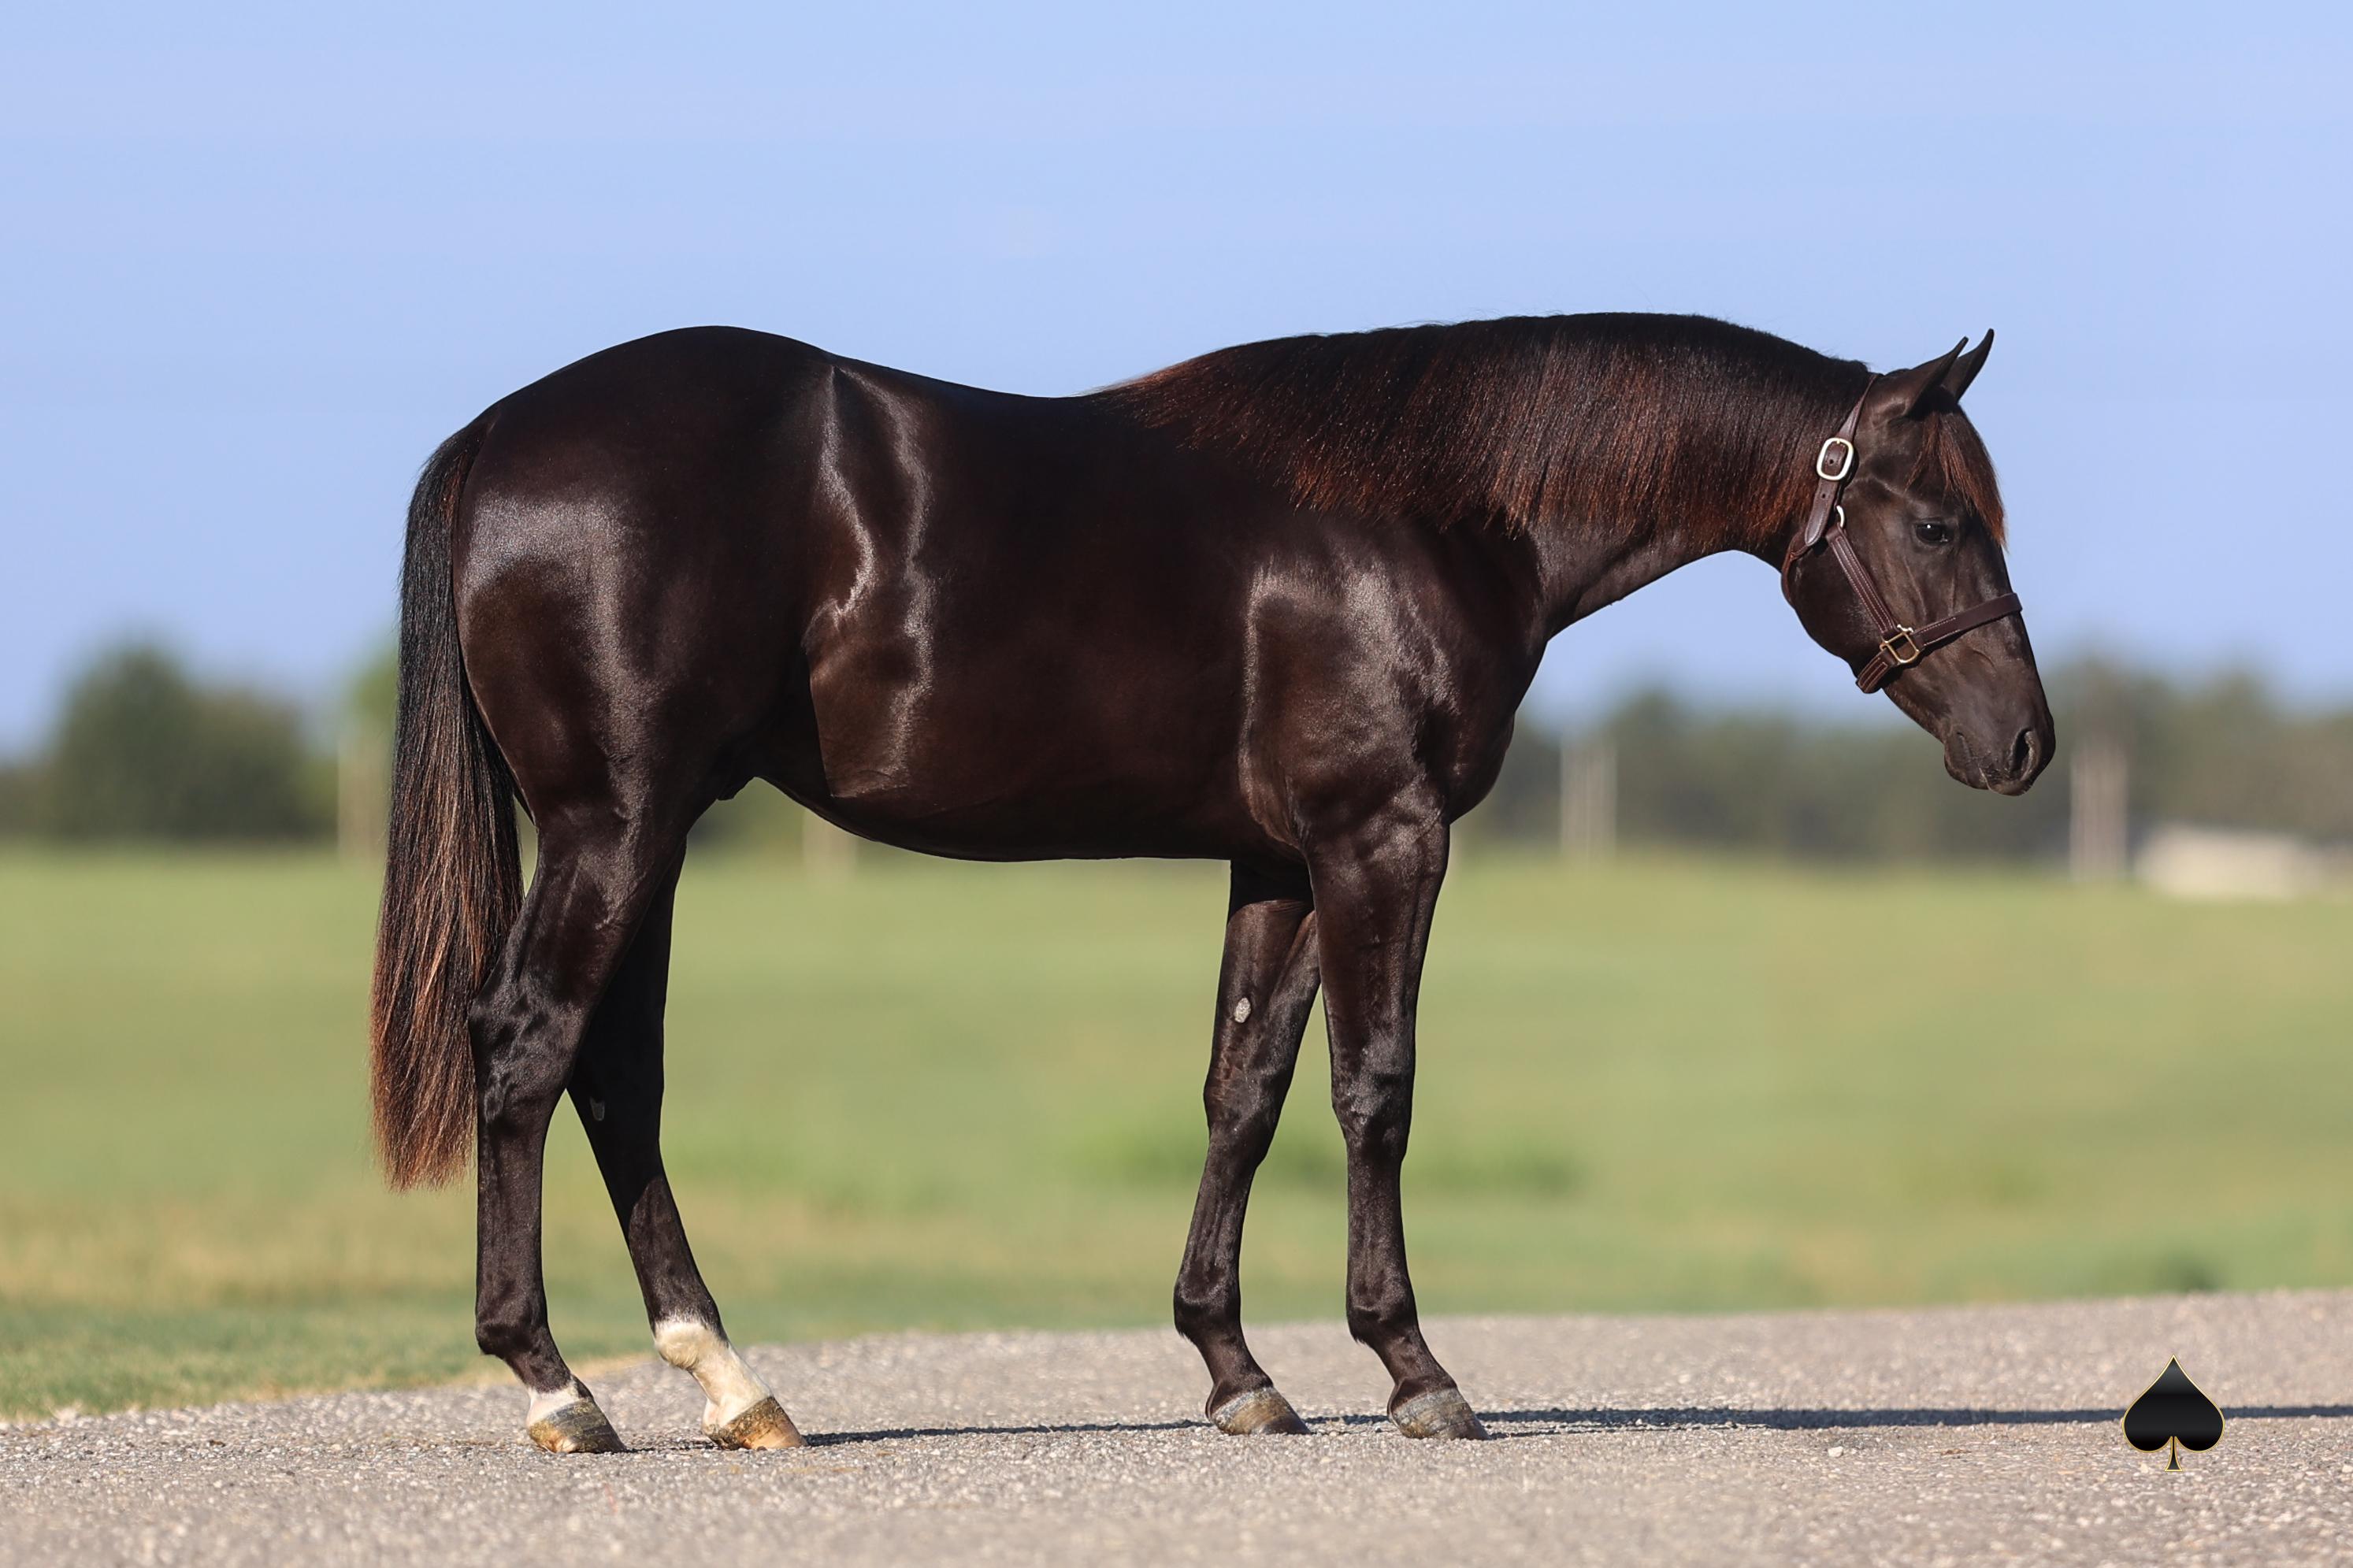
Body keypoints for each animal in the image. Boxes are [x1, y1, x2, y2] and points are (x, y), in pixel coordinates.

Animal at [369, 312, 2053, 1453]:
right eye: (1935, 519)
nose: (2024, 743)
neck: (1431, 513)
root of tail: (495, 437)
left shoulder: (1279, 861)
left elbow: (1242, 1092)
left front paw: (1237, 1371)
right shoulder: (1384, 838)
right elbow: (1375, 1089)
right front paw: (1414, 1371)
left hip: (647, 831)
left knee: (614, 1078)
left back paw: (732, 1383)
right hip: (616, 821)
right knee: (526, 1049)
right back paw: (558, 1387)